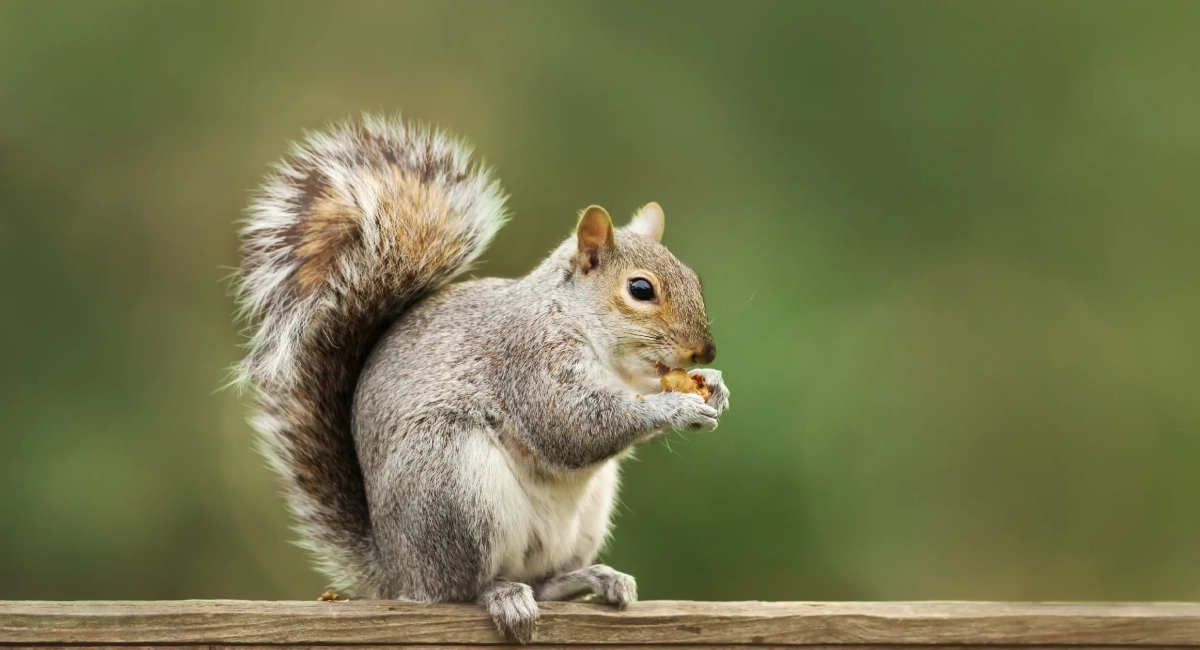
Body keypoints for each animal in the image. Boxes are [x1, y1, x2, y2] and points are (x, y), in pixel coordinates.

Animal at [234, 115, 730, 643]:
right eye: (640, 289)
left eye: (694, 279)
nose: (705, 351)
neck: (590, 335)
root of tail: (398, 572)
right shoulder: (529, 360)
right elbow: (572, 426)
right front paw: (676, 407)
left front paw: (712, 384)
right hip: (451, 483)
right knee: (462, 587)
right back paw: (502, 595)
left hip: (580, 516)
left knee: (544, 580)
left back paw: (590, 578)